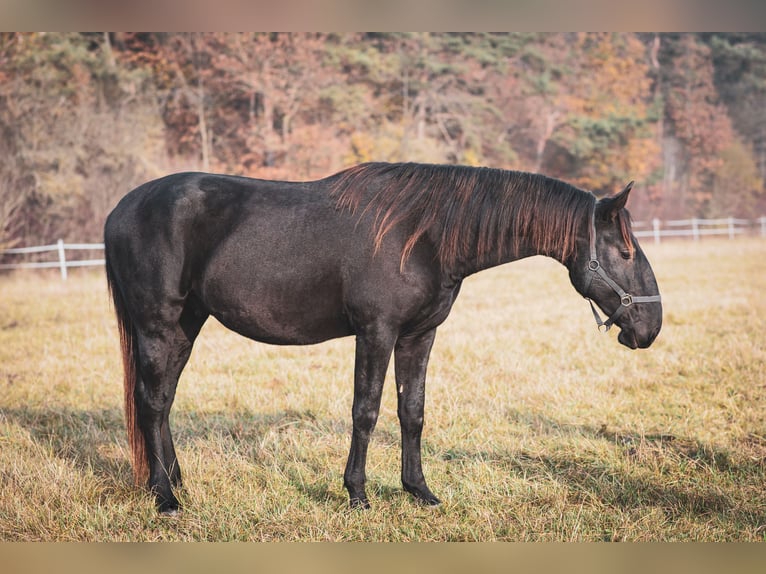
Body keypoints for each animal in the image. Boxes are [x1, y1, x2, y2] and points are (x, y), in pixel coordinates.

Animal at [105, 163, 664, 516]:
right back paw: (166, 498)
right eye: (626, 252)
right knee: (151, 403)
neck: (424, 236)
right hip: (158, 325)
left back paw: (175, 481)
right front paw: (357, 495)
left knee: (163, 402)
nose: (651, 328)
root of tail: (119, 211)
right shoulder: (376, 332)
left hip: (186, 326)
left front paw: (420, 491)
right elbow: (366, 411)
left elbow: (411, 412)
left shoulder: (419, 336)